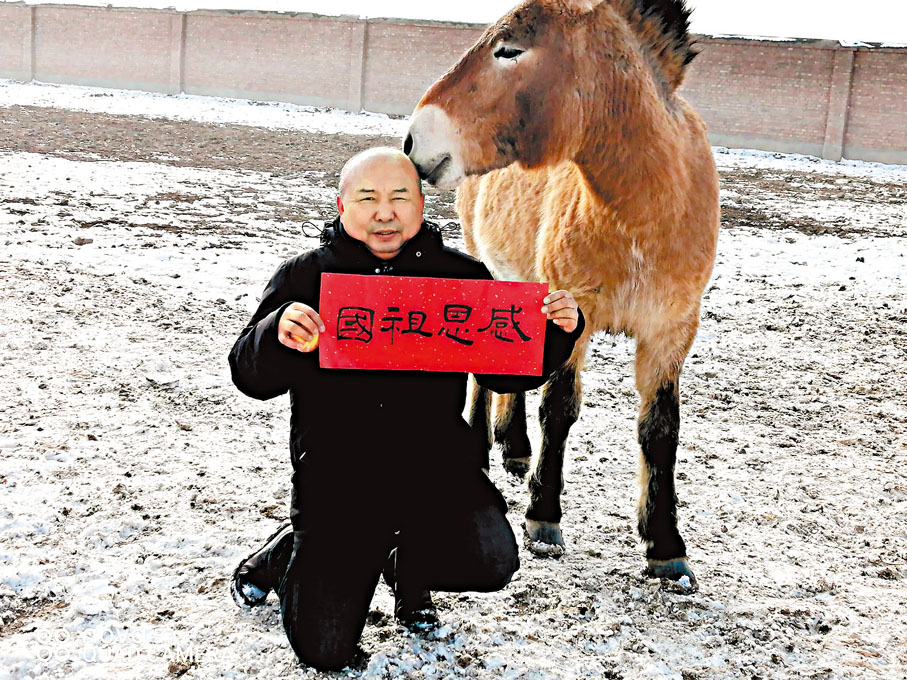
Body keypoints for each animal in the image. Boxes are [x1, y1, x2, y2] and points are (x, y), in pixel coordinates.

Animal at [404, 0, 719, 583]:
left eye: (509, 50)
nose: (413, 140)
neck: (642, 212)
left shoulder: (672, 330)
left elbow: (660, 430)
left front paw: (665, 545)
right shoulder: (574, 311)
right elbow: (560, 407)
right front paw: (543, 517)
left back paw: (513, 447)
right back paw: (486, 448)